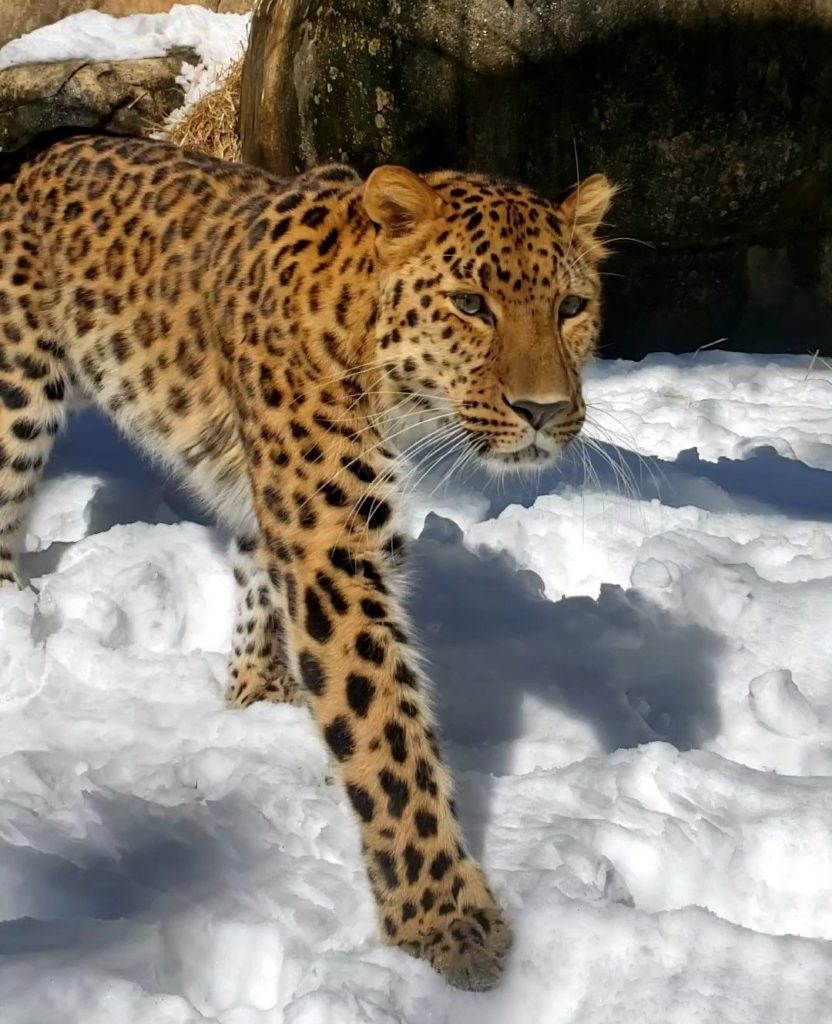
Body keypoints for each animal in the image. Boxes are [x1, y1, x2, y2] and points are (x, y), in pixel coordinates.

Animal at [0, 133, 614, 991]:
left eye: (571, 308)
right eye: (470, 305)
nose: (544, 410)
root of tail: (41, 153)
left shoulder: (320, 525)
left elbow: (271, 591)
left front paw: (261, 692)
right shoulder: (334, 552)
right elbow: (386, 734)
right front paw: (443, 921)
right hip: (15, 397)